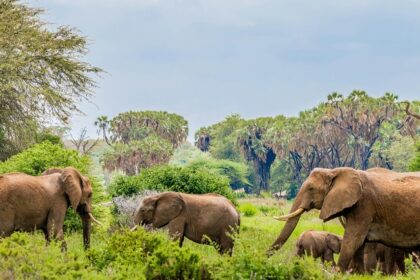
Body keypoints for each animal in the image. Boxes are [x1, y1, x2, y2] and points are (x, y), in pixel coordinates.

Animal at [270, 167, 420, 272]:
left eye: (311, 188)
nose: (266, 256)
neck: (334, 171)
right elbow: (359, 245)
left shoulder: (364, 206)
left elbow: (352, 241)